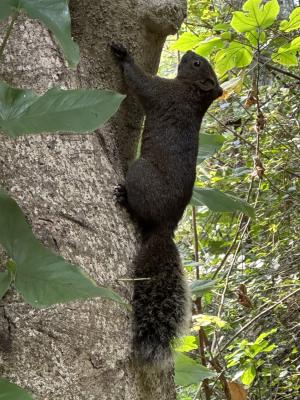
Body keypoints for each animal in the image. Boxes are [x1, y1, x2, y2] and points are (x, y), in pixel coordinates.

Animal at [110, 43, 223, 366]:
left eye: (197, 63)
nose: (190, 51)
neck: (191, 93)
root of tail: (166, 227)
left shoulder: (163, 92)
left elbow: (141, 84)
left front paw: (124, 56)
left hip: (140, 172)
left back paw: (125, 199)